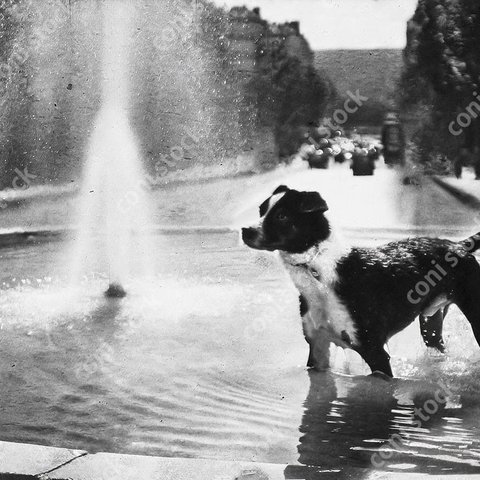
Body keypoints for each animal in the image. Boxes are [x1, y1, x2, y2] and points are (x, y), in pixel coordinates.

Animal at [244, 186, 480, 376]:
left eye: (282, 216)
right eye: (261, 210)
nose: (245, 230)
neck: (319, 272)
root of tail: (458, 245)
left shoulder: (375, 352)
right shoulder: (317, 347)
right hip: (430, 321)